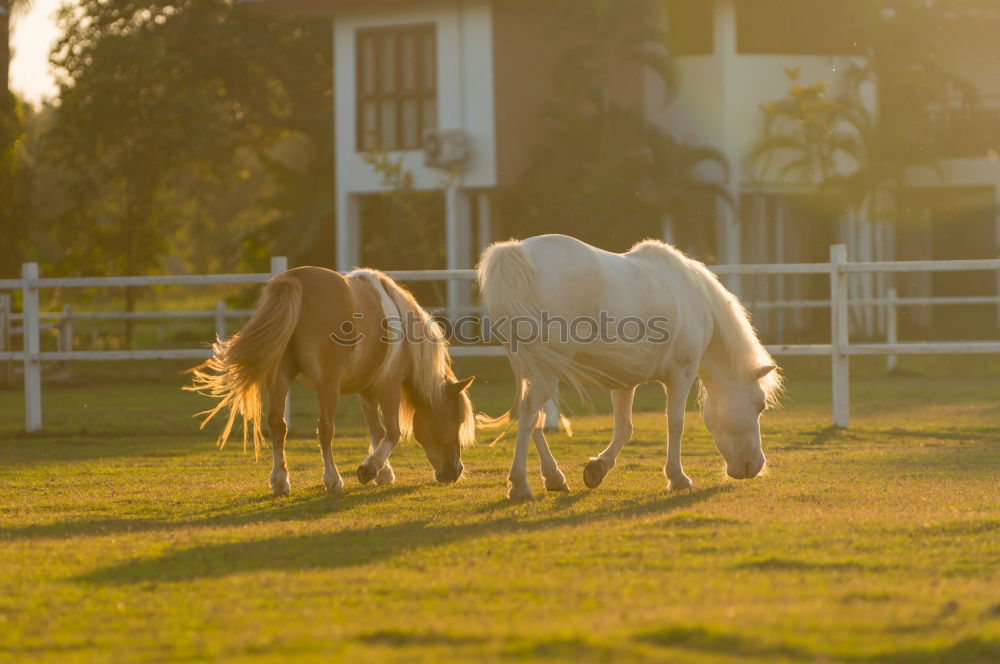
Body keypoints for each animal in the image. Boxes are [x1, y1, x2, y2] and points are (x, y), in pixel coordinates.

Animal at [188, 268, 476, 496]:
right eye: (455, 419)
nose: (455, 472)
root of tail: (295, 280)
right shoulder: (389, 388)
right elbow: (392, 433)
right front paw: (369, 469)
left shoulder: (367, 393)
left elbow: (377, 432)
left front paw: (383, 472)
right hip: (327, 387)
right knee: (325, 429)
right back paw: (333, 480)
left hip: (280, 378)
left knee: (277, 425)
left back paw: (280, 482)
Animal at [476, 233, 780, 498]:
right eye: (759, 405)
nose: (754, 466)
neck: (692, 296)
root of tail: (516, 253)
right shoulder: (681, 375)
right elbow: (675, 423)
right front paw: (677, 478)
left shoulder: (623, 381)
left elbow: (624, 428)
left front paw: (597, 468)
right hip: (547, 371)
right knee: (529, 415)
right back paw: (519, 485)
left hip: (536, 370)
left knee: (533, 418)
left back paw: (554, 477)